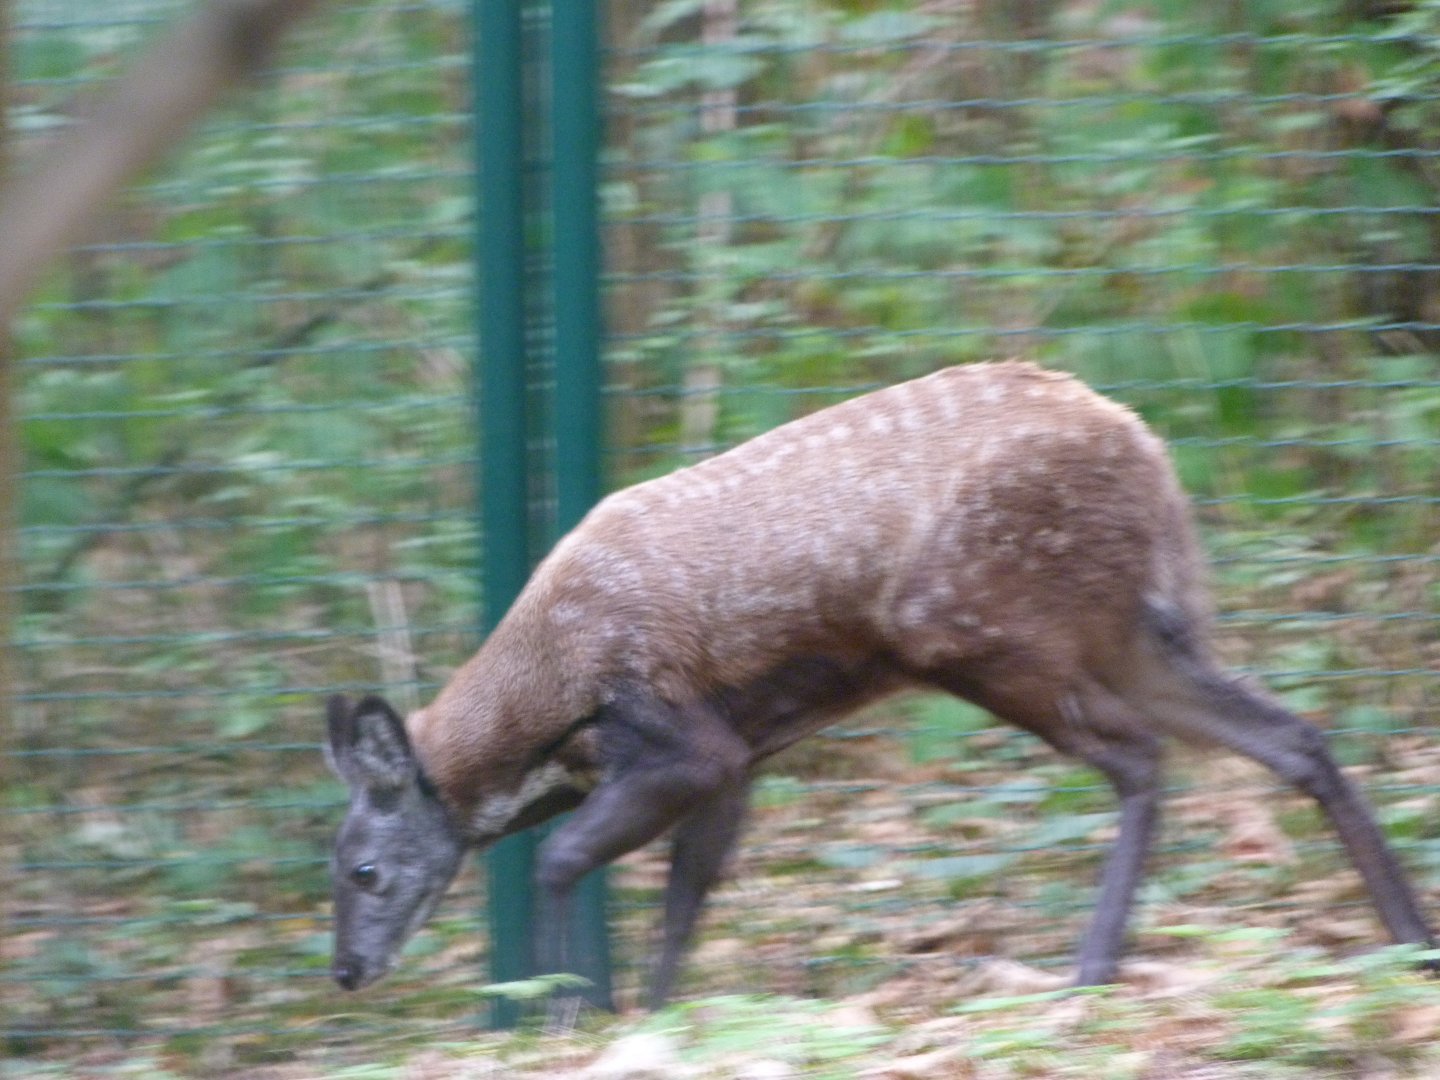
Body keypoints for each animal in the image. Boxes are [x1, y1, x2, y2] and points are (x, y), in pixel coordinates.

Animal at [324, 360, 1434, 1007]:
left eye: (364, 869)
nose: (343, 970)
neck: (550, 703)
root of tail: (1149, 449)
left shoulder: (685, 738)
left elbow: (562, 860)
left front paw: (568, 1010)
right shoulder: (739, 757)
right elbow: (687, 897)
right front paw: (649, 1014)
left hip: (975, 626)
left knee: (1140, 755)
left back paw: (1086, 968)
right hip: (1129, 635)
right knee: (1295, 737)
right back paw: (1407, 943)